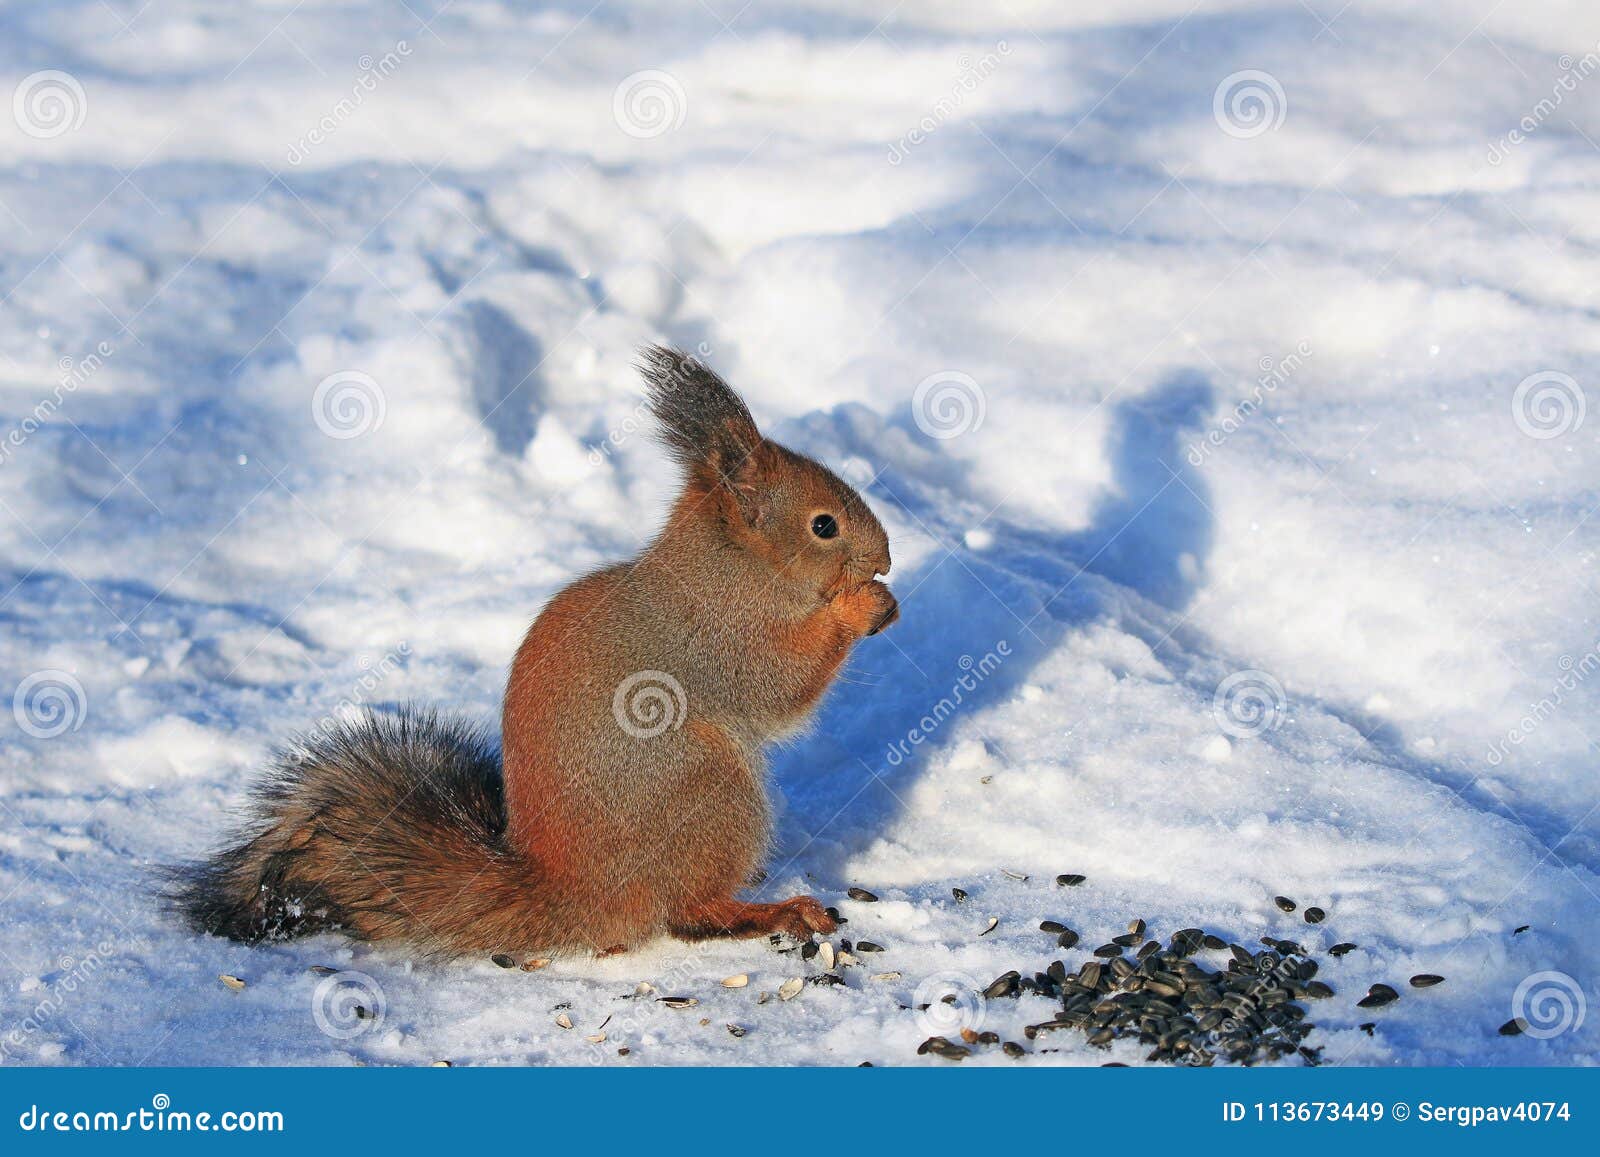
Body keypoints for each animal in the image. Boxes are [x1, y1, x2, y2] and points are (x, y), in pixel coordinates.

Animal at [168, 346, 899, 957]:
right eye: (823, 525)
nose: (887, 557)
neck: (733, 563)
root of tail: (573, 893)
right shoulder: (722, 637)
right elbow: (779, 687)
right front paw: (861, 605)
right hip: (708, 790)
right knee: (686, 913)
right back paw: (773, 911)